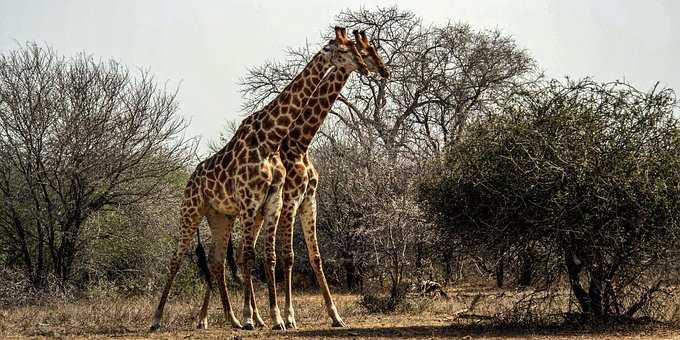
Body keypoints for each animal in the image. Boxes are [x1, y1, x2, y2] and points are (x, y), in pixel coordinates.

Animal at [151, 27, 370, 332]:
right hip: (191, 210)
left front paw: (276, 318)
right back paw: (158, 319)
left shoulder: (276, 202)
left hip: (220, 217)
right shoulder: (256, 201)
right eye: (343, 49)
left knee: (217, 261)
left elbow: (272, 256)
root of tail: (190, 178)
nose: (368, 68)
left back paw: (227, 319)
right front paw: (262, 317)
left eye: (358, 48)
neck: (272, 139)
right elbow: (255, 257)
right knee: (177, 258)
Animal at [276, 30, 390, 328]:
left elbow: (316, 257)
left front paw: (336, 315)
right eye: (366, 50)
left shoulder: (309, 199)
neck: (299, 143)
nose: (384, 70)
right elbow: (289, 256)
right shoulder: (290, 200)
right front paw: (289, 316)